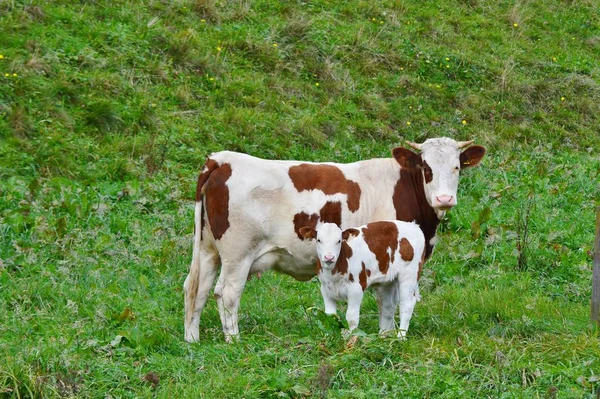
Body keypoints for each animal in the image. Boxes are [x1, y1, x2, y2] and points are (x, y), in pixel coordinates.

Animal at [184, 138, 488, 344]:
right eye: (426, 167)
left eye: (457, 167)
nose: (444, 198)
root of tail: (221, 159)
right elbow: (387, 300)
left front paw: (386, 335)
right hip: (238, 254)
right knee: (227, 293)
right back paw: (233, 340)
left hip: (209, 251)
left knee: (196, 289)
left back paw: (192, 339)